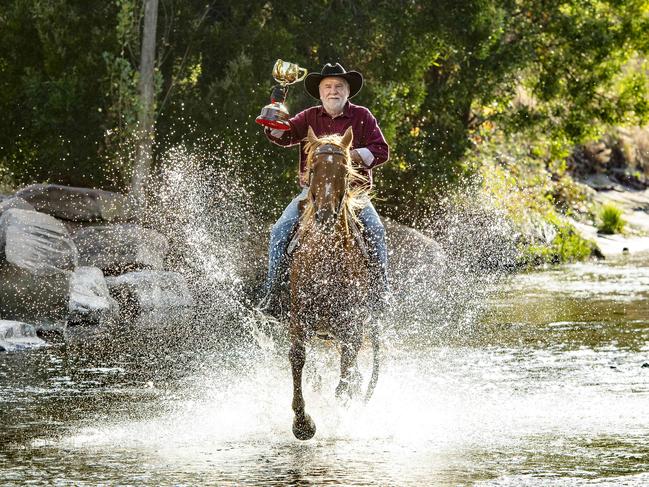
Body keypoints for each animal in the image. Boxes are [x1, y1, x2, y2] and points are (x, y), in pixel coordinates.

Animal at [288, 126, 380, 442]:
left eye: (343, 169)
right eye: (314, 168)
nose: (326, 214)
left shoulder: (352, 325)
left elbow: (344, 381)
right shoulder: (300, 318)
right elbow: (298, 358)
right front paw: (303, 423)